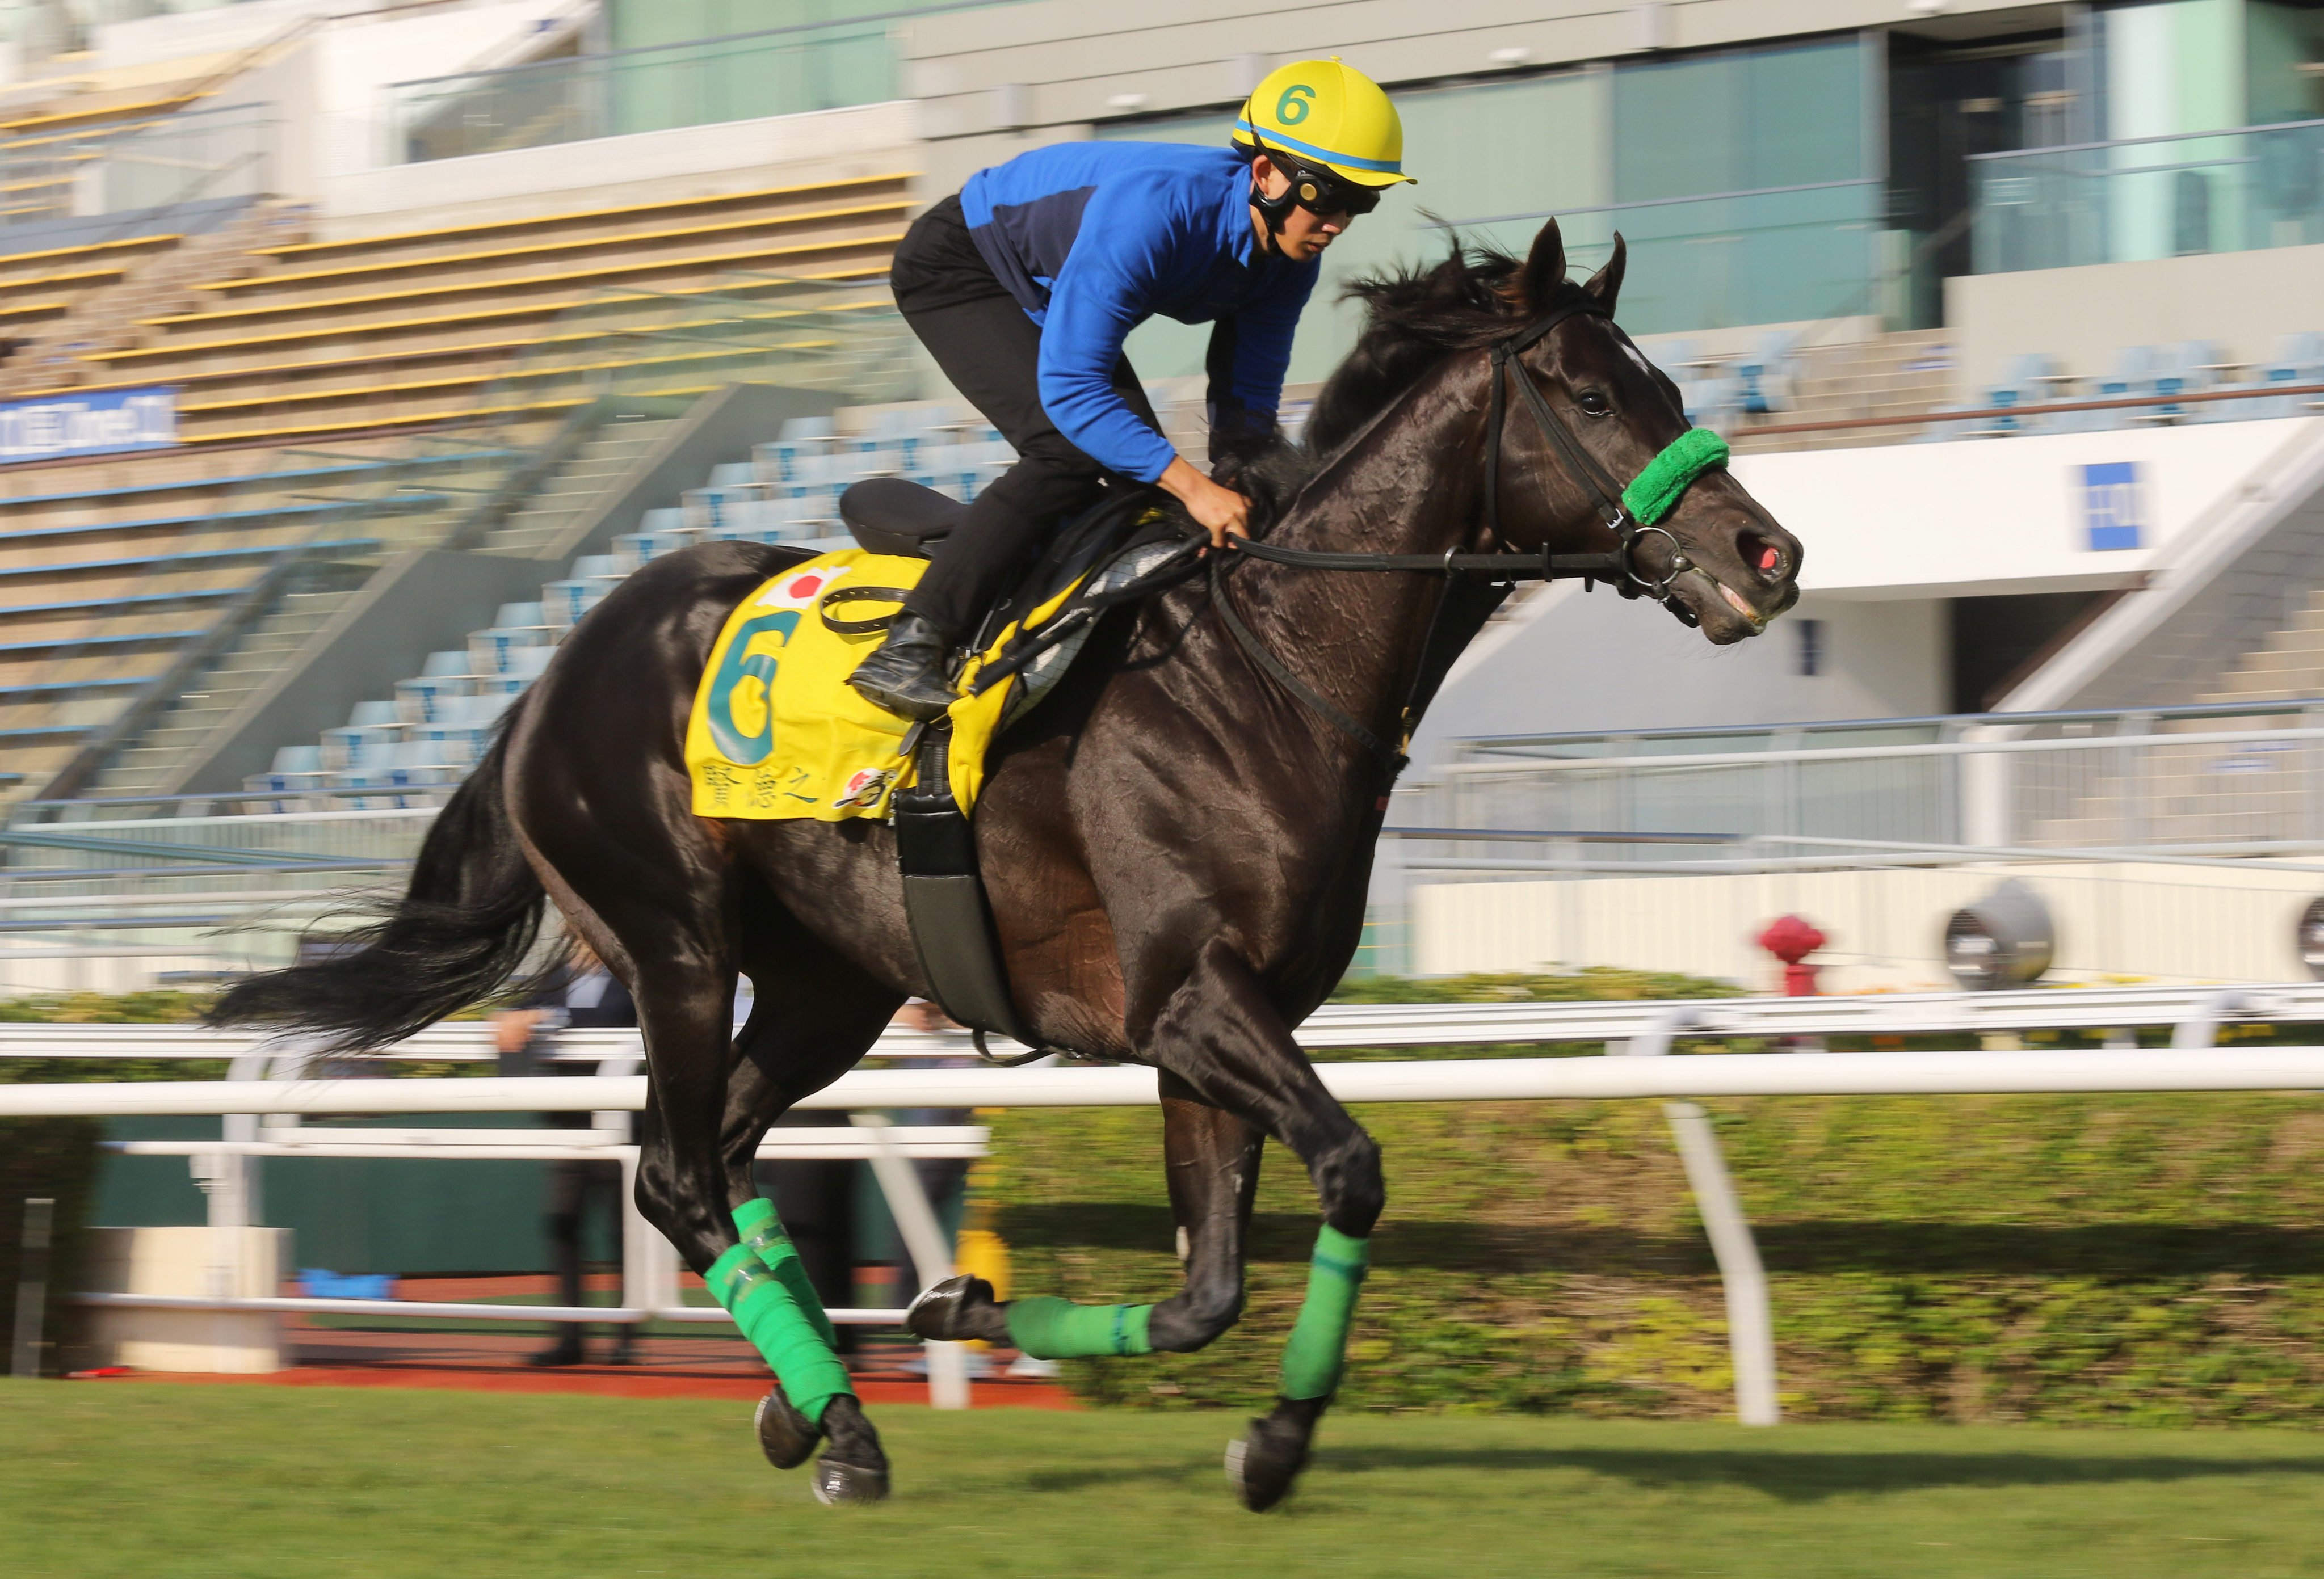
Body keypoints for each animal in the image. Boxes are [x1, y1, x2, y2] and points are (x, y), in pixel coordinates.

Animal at [213, 216, 1794, 1514]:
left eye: (1666, 386)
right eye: (1591, 396)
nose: (1766, 554)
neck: (1267, 668)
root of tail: (550, 674)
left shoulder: (1221, 1026)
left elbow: (1206, 1290)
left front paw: (984, 1320)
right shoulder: (1190, 1002)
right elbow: (1349, 1169)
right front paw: (1265, 1434)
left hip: (825, 986)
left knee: (720, 1151)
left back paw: (803, 1400)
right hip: (678, 943)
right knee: (672, 1170)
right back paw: (843, 1428)